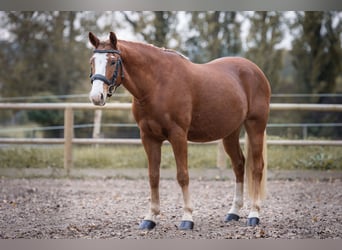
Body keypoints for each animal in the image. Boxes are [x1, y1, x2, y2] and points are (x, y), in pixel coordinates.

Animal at [89, 31, 272, 230]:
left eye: (113, 61)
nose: (96, 96)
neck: (157, 84)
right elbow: (153, 176)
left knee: (257, 167)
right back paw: (234, 212)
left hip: (255, 126)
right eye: (92, 61)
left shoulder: (178, 135)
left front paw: (187, 218)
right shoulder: (149, 137)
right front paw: (150, 218)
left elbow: (182, 175)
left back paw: (254, 214)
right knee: (239, 165)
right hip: (230, 133)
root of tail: (255, 70)